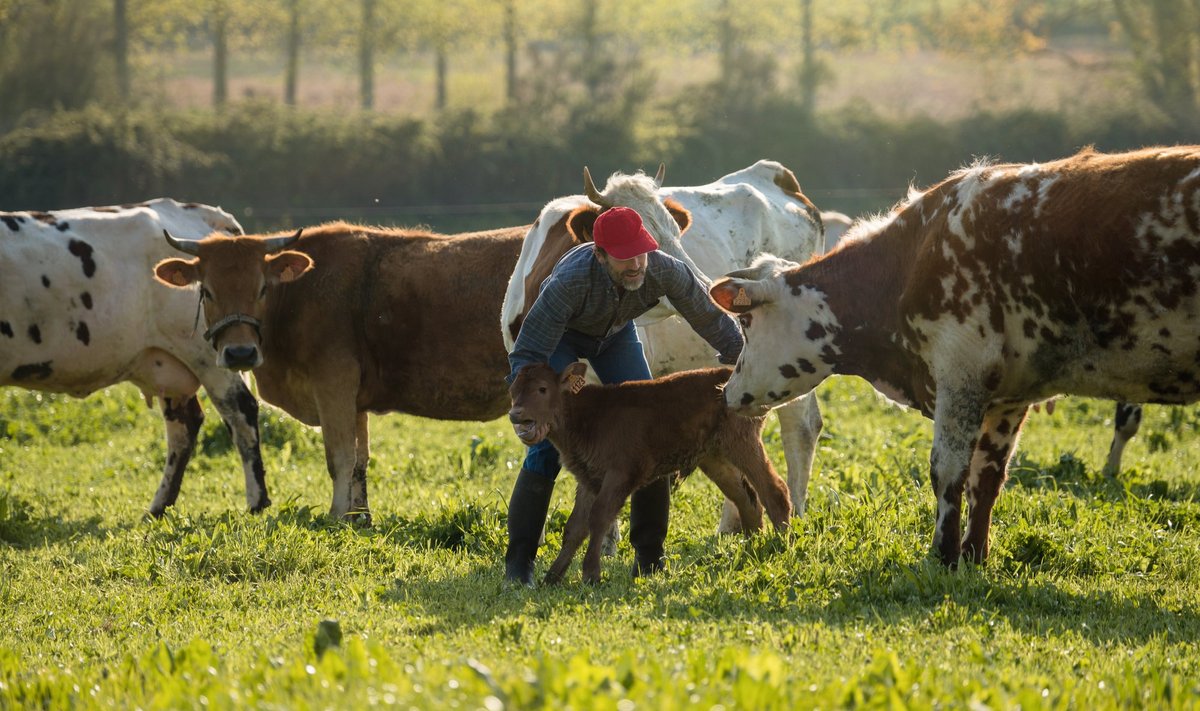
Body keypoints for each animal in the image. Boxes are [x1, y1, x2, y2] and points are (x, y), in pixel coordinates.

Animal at [0, 196, 267, 514]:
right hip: (169, 364)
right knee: (184, 425)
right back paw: (158, 507)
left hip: (213, 355)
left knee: (240, 411)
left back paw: (256, 501)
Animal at [150, 220, 525, 521]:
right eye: (207, 291)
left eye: (262, 288)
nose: (239, 352)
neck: (300, 293)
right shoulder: (354, 400)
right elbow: (359, 459)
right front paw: (359, 516)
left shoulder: (333, 382)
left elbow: (339, 456)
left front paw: (336, 516)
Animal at [705, 145, 1200, 566]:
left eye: (746, 323)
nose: (727, 391)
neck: (914, 258)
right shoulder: (1007, 397)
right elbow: (987, 477)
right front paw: (974, 556)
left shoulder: (960, 371)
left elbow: (947, 470)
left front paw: (942, 556)